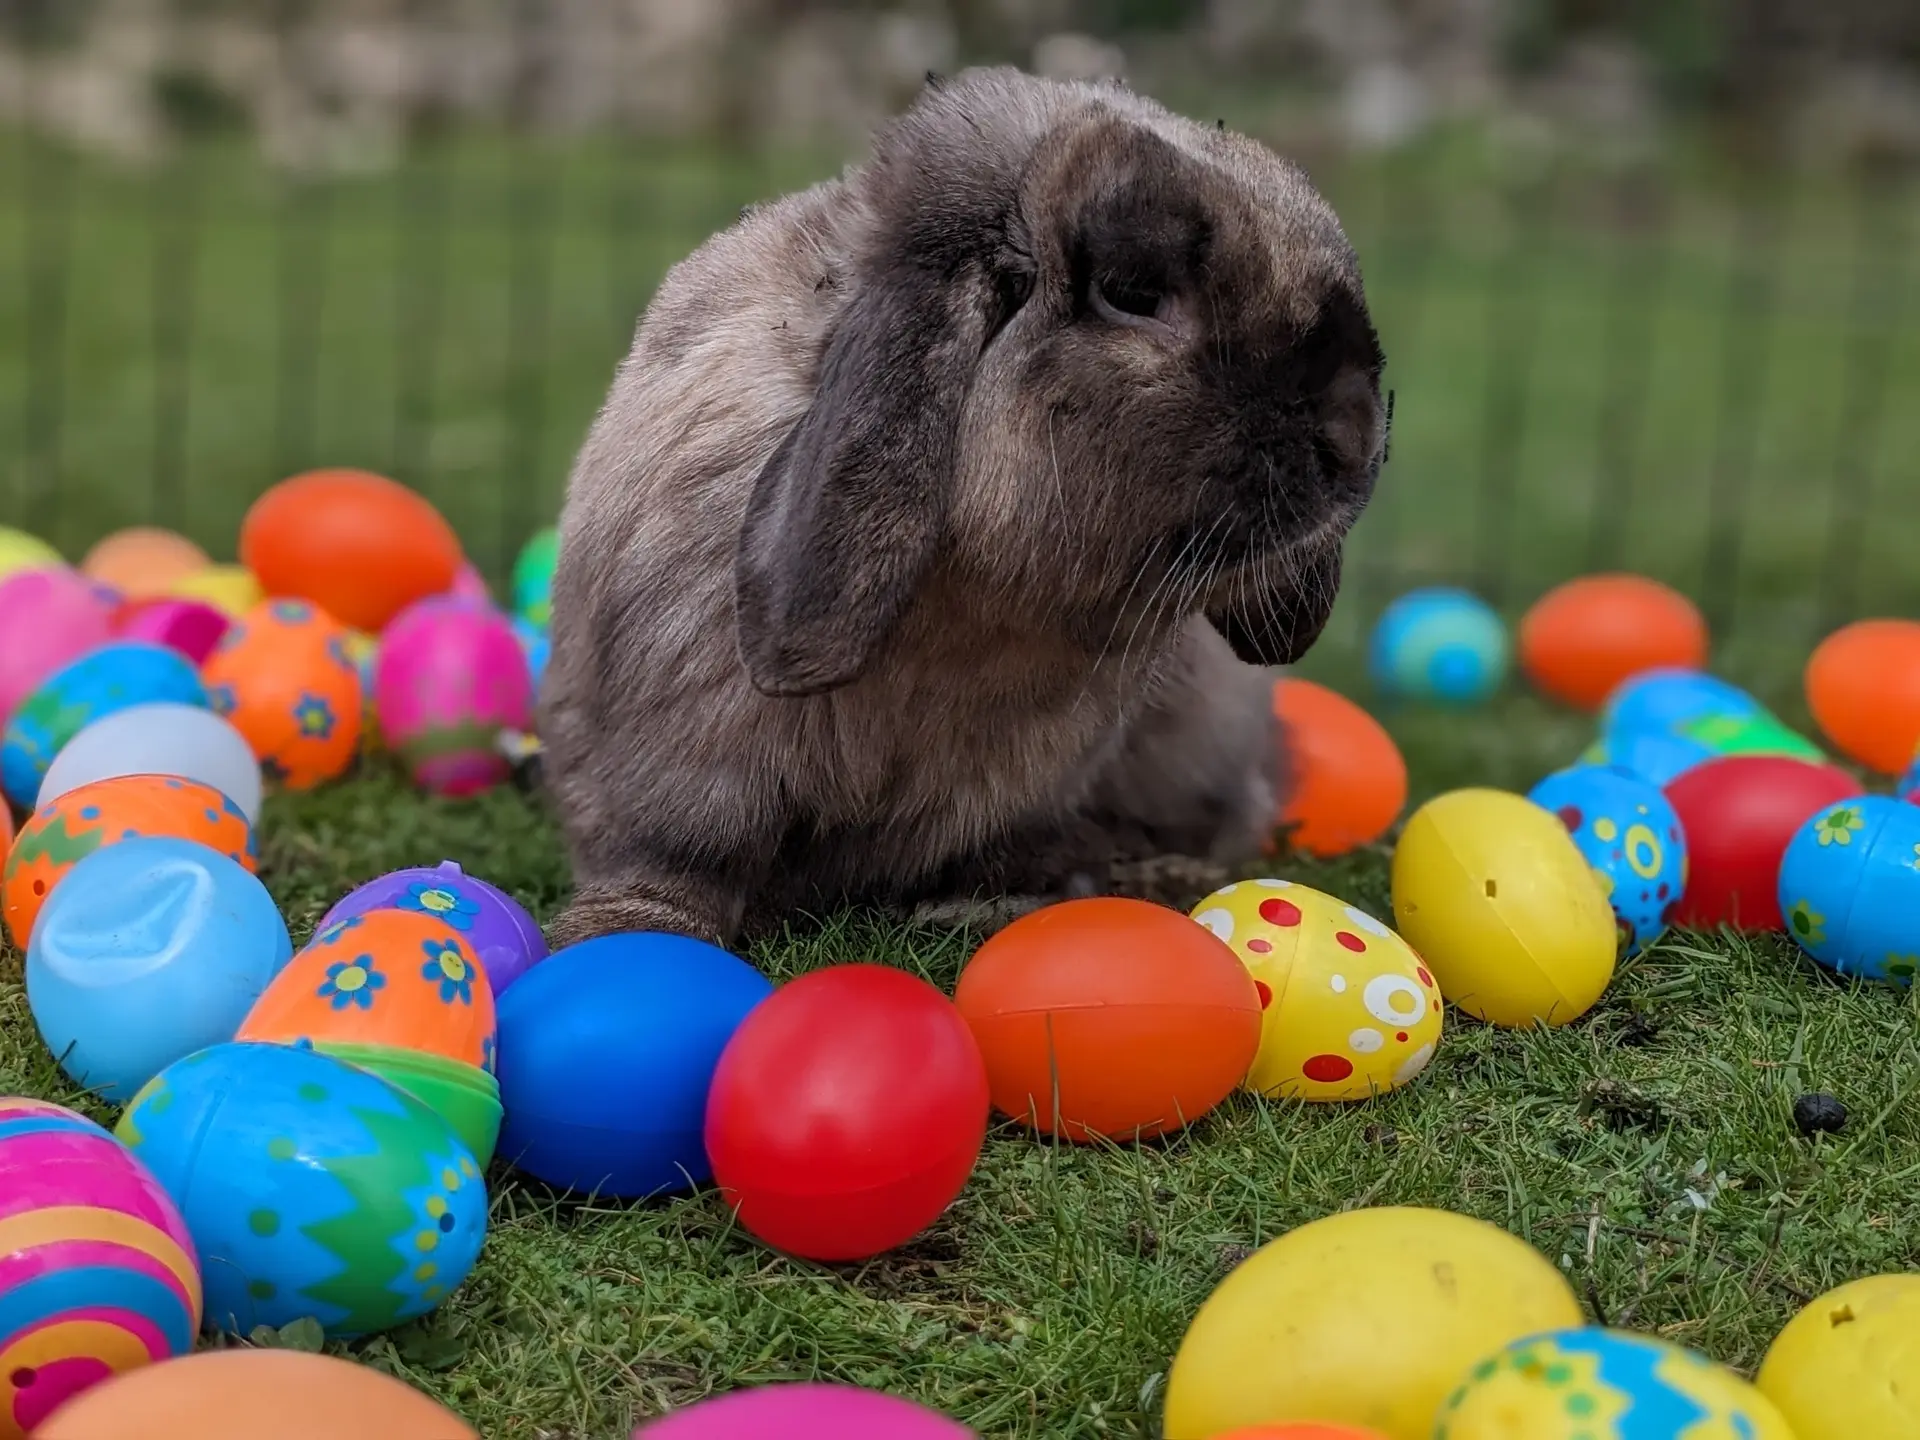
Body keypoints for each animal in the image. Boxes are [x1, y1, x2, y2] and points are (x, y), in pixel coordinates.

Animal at [540, 66, 1386, 950]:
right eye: (1132, 292)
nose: (1352, 439)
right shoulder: (688, 762)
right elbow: (677, 862)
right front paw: (621, 932)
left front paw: (987, 904)